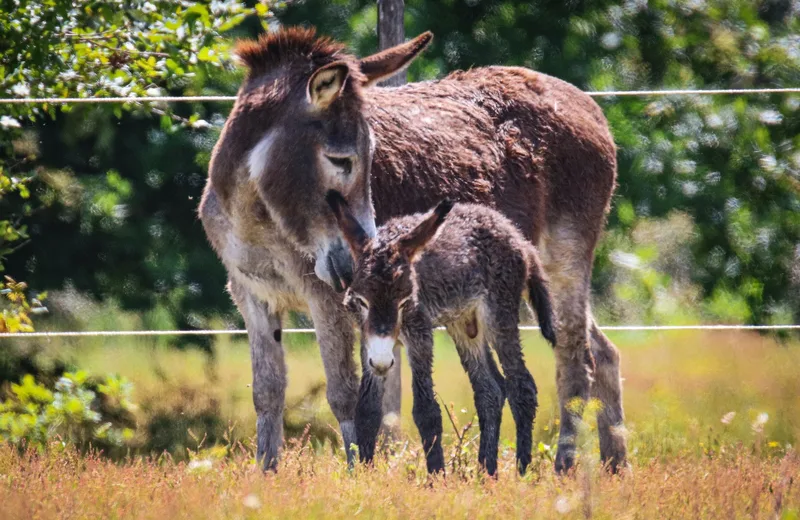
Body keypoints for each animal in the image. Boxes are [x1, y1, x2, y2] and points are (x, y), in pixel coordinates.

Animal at [324, 191, 556, 476]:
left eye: (404, 302)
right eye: (362, 301)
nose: (382, 362)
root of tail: (515, 235)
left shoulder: (419, 334)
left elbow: (426, 410)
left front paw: (437, 477)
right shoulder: (369, 341)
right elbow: (367, 409)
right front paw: (365, 475)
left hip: (499, 313)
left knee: (522, 386)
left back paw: (521, 471)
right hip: (465, 324)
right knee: (490, 390)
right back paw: (485, 472)